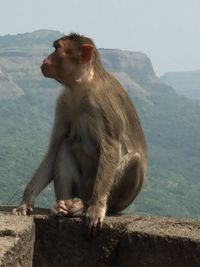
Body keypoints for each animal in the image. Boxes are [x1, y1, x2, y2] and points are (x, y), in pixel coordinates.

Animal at [12, 33, 147, 234]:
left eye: (57, 49)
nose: (44, 59)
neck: (81, 85)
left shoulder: (102, 101)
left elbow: (111, 147)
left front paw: (96, 208)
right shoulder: (64, 102)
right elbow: (54, 148)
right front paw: (25, 201)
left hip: (106, 195)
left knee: (135, 160)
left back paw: (85, 206)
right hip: (81, 188)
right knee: (65, 144)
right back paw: (63, 206)